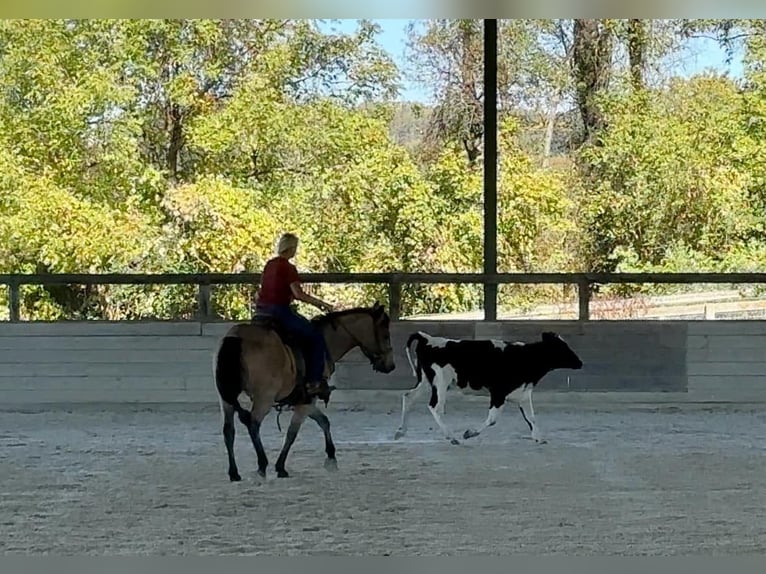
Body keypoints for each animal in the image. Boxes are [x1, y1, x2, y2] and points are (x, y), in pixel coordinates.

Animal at [214, 302, 396, 482]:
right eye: (386, 335)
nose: (391, 365)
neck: (327, 342)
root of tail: (236, 337)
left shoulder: (305, 400)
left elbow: (323, 421)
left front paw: (331, 458)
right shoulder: (308, 400)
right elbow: (292, 432)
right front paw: (281, 467)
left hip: (227, 398)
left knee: (228, 430)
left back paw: (234, 473)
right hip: (264, 398)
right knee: (253, 424)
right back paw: (262, 465)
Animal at [396, 330, 584, 448]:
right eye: (562, 348)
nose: (580, 362)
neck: (525, 357)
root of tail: (428, 339)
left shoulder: (522, 394)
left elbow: (531, 417)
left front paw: (539, 438)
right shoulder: (498, 393)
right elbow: (492, 419)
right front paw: (469, 433)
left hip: (426, 381)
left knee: (409, 397)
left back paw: (400, 432)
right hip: (440, 382)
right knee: (435, 406)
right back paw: (452, 437)